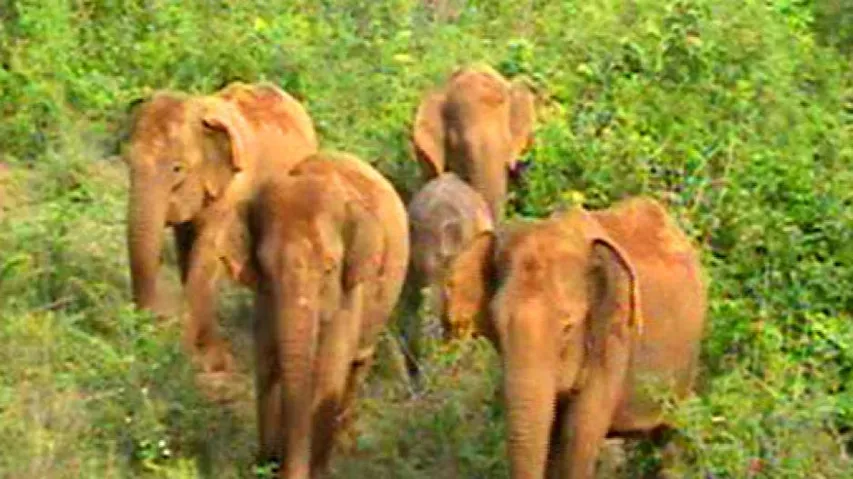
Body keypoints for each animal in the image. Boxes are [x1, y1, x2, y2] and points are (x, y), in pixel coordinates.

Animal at [122, 81, 318, 374]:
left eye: (177, 169)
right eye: (127, 160)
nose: (151, 321)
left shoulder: (235, 189)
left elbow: (206, 253)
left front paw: (186, 357)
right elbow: (187, 250)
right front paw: (210, 356)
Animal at [246, 151, 410, 478]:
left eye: (329, 268)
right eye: (264, 267)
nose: (281, 467)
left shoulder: (349, 292)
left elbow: (328, 373)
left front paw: (317, 472)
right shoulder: (264, 297)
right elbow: (266, 362)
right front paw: (264, 465)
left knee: (358, 363)